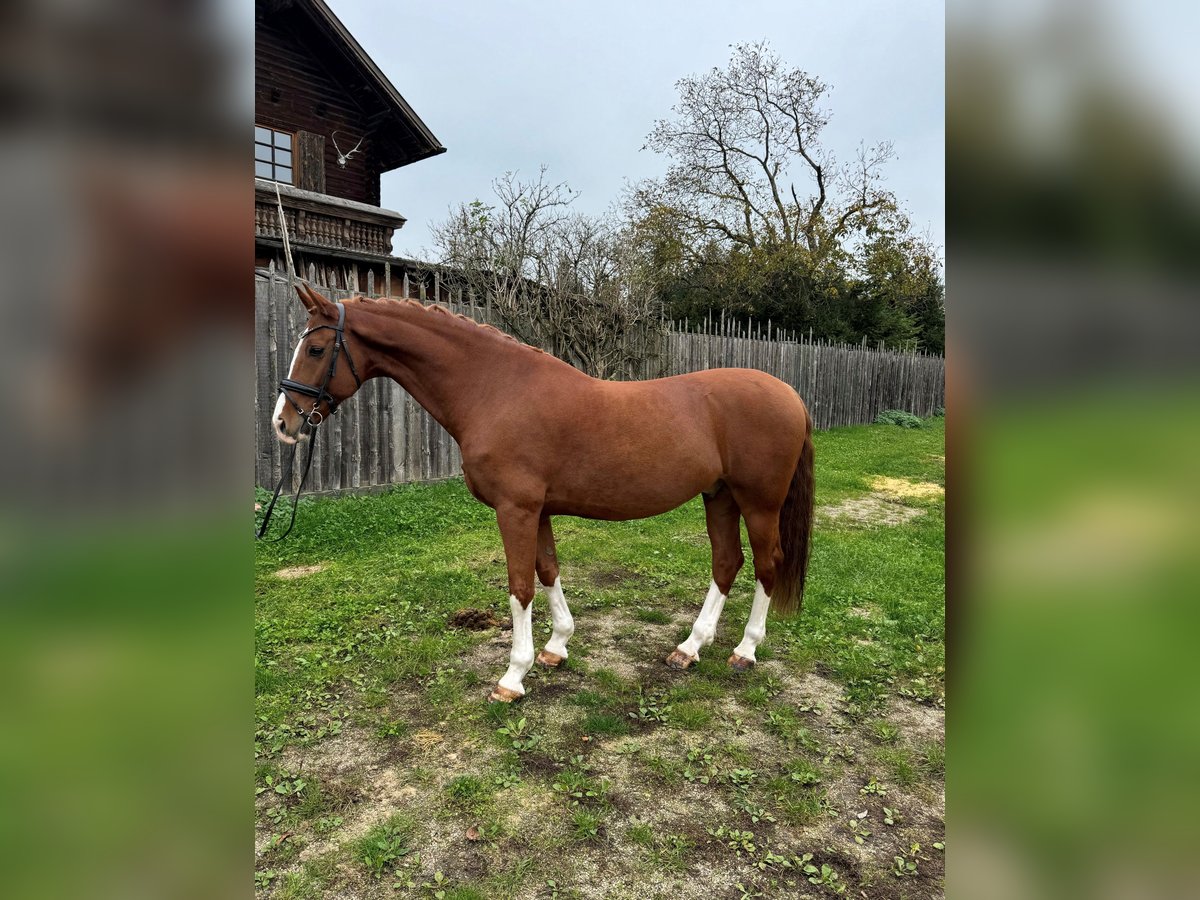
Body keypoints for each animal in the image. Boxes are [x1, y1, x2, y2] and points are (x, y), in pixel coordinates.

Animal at [272, 286, 816, 705]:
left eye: (316, 350)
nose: (283, 422)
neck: (496, 390)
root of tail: (790, 394)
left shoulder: (516, 510)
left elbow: (520, 586)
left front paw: (513, 676)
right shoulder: (540, 511)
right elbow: (548, 570)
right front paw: (557, 647)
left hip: (759, 503)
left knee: (767, 564)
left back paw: (745, 651)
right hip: (718, 496)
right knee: (727, 562)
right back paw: (689, 648)